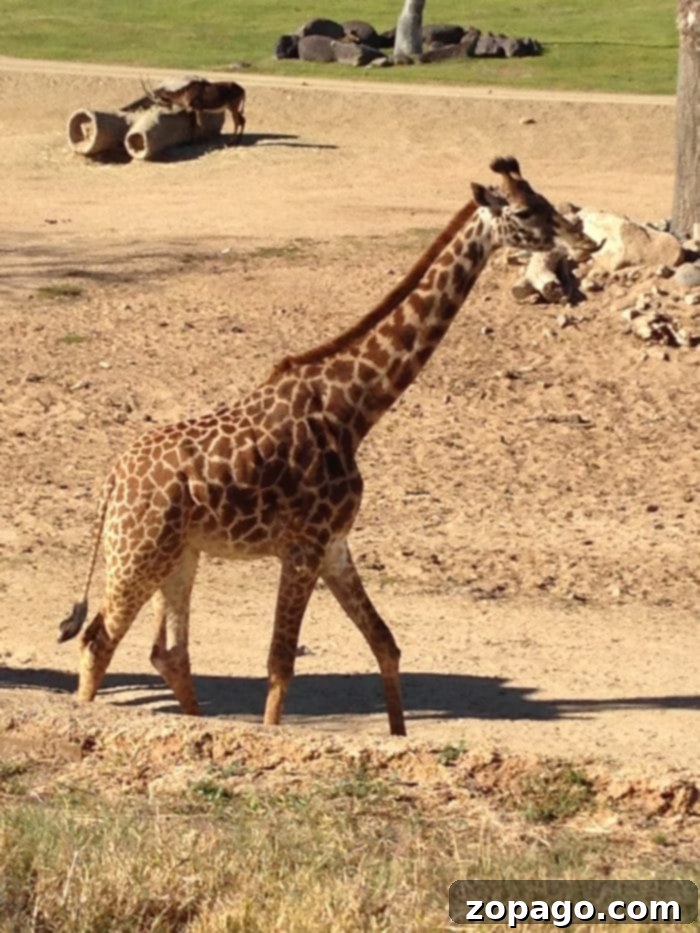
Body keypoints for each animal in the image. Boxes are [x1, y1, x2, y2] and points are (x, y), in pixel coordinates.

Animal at [59, 157, 598, 736]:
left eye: (544, 199)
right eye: (524, 211)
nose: (585, 242)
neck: (353, 409)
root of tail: (112, 481)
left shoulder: (336, 545)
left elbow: (385, 643)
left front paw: (398, 736)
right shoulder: (303, 545)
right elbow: (280, 663)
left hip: (180, 553)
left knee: (168, 652)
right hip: (137, 551)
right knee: (98, 640)